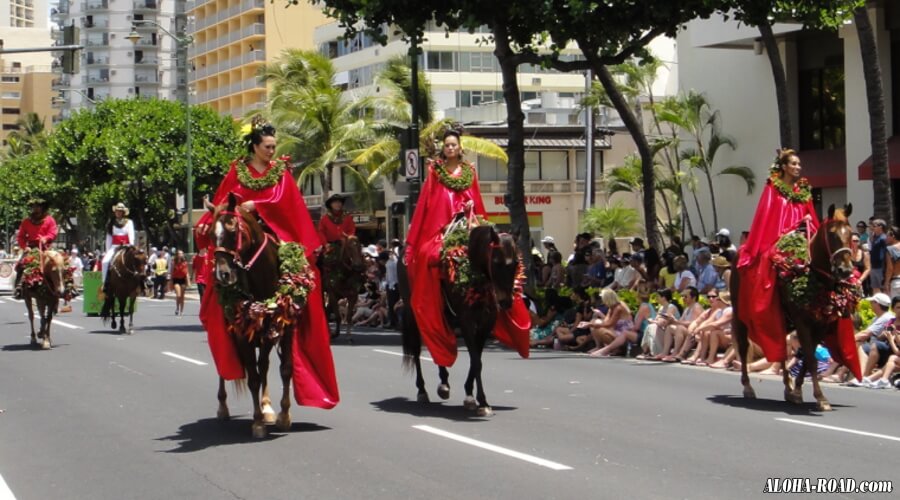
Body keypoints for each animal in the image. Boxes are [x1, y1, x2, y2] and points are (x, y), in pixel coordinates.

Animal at [211, 193, 296, 440]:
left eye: (232, 231)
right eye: (210, 235)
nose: (222, 274)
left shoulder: (286, 328)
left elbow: (285, 369)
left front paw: (283, 416)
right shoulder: (242, 336)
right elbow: (253, 378)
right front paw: (257, 423)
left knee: (265, 364)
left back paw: (268, 408)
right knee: (223, 368)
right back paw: (223, 407)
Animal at [400, 225, 520, 416]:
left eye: (516, 263)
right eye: (496, 262)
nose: (506, 302)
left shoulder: (486, 323)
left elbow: (476, 359)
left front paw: (470, 395)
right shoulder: (467, 322)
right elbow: (476, 362)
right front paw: (482, 402)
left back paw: (443, 384)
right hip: (414, 315)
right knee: (417, 350)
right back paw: (422, 390)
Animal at [732, 203, 852, 410]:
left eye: (851, 234)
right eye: (832, 234)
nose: (845, 270)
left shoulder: (821, 325)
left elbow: (806, 357)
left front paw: (796, 390)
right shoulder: (802, 322)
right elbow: (811, 359)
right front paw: (820, 398)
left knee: (781, 349)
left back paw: (787, 388)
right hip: (740, 316)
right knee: (744, 347)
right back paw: (748, 387)